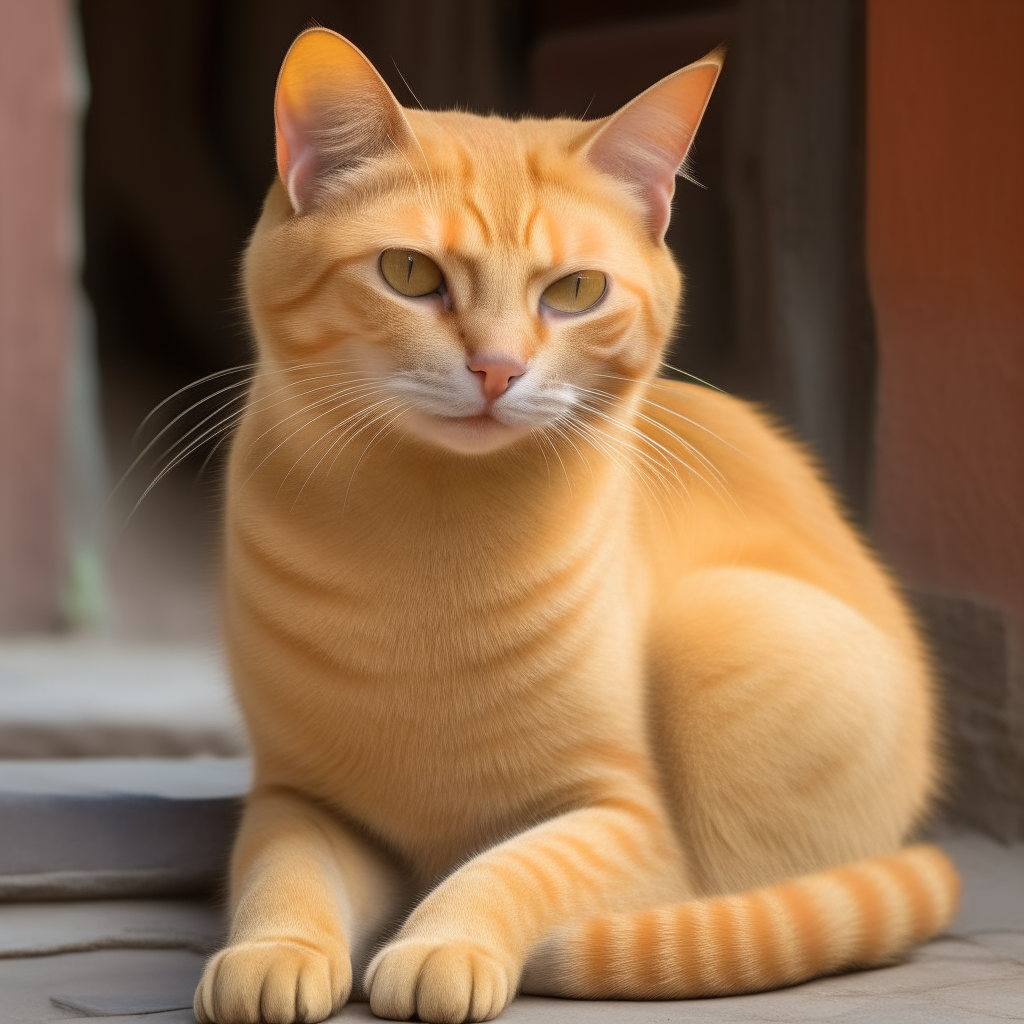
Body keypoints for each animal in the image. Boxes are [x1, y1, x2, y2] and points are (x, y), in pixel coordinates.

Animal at [193, 25, 958, 1024]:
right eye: (409, 274)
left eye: (577, 291)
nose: (498, 369)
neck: (432, 539)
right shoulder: (297, 798)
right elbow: (283, 875)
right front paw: (274, 953)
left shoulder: (630, 826)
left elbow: (509, 868)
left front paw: (440, 942)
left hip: (723, 623)